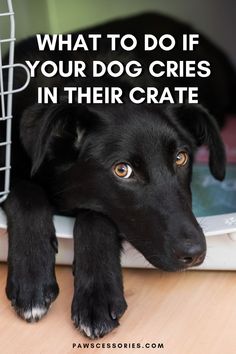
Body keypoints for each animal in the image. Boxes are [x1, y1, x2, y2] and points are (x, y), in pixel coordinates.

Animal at [1, 12, 234, 338]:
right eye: (122, 170)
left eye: (181, 157)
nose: (196, 253)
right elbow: (24, 192)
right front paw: (31, 275)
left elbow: (96, 216)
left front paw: (97, 296)